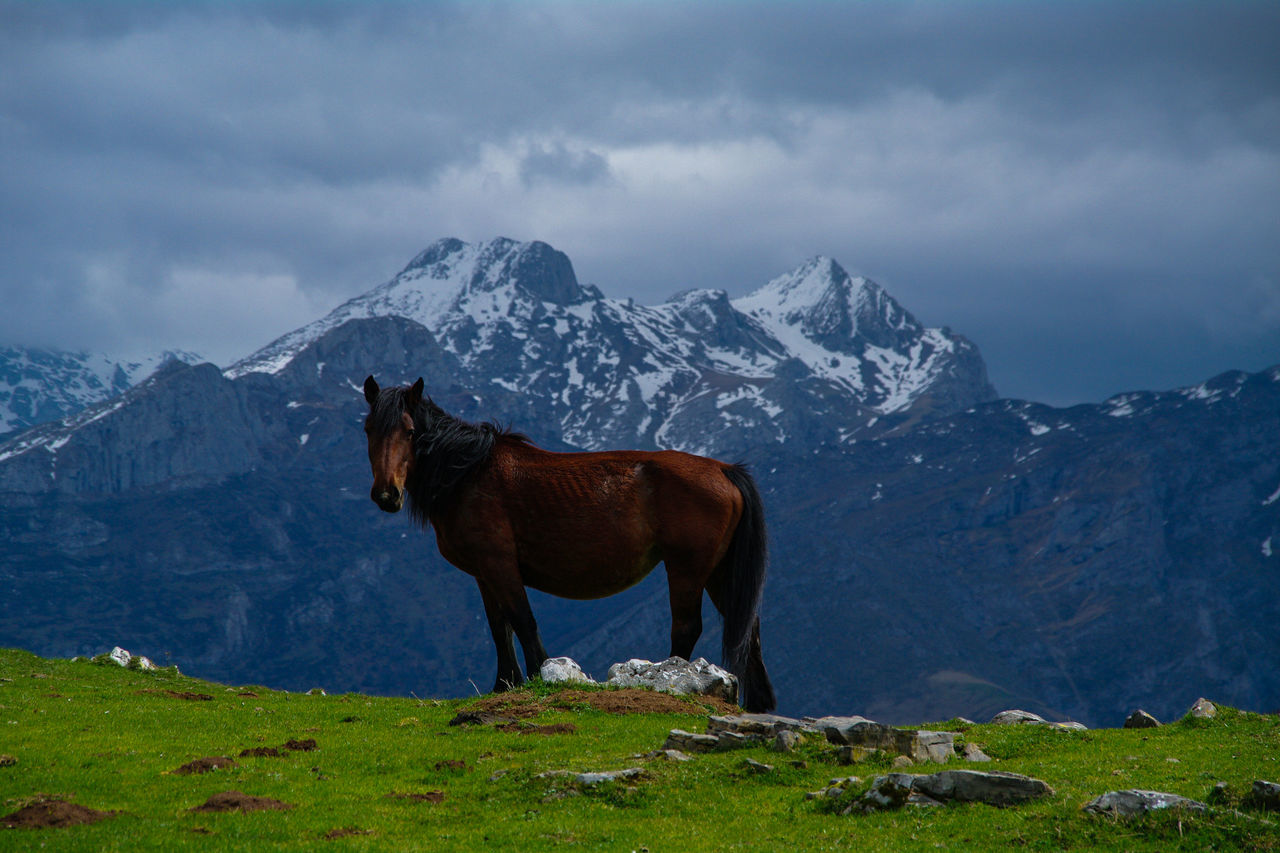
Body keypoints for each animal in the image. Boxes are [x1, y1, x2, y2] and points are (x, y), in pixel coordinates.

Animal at [366, 373, 773, 712]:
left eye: (409, 431)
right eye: (369, 429)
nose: (387, 495)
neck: (468, 474)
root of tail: (723, 469)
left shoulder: (500, 564)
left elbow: (523, 621)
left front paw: (538, 677)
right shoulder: (484, 574)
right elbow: (500, 629)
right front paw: (503, 684)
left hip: (687, 570)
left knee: (686, 627)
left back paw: (671, 679)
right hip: (719, 573)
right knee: (748, 631)